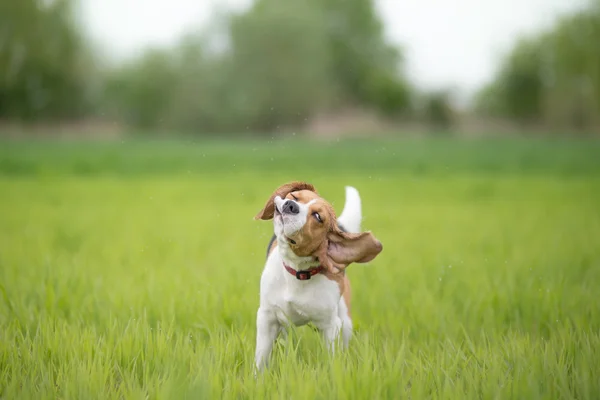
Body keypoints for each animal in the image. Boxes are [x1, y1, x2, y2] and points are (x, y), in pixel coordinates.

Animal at [253, 182, 384, 372]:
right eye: (294, 196)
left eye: (317, 216)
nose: (290, 206)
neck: (298, 273)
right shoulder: (267, 317)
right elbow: (261, 359)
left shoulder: (330, 325)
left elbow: (331, 360)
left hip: (345, 321)